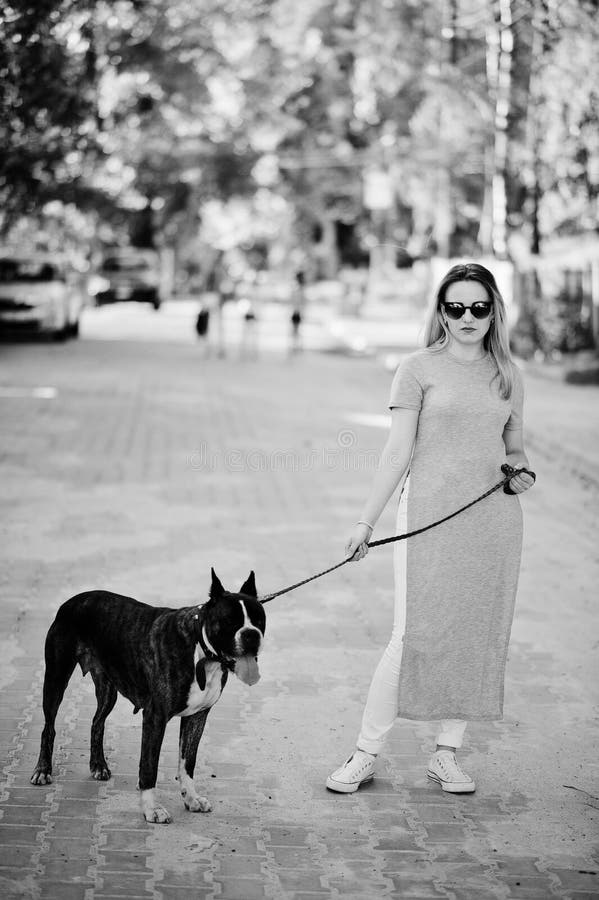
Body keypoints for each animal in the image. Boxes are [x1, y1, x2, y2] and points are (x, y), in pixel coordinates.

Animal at [31, 568, 266, 824]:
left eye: (259, 620)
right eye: (230, 621)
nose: (251, 635)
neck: (201, 651)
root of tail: (72, 600)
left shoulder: (197, 717)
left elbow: (187, 763)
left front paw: (191, 798)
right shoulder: (155, 717)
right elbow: (149, 766)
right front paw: (151, 809)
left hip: (108, 690)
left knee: (97, 723)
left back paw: (98, 765)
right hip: (55, 680)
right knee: (48, 727)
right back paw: (42, 770)